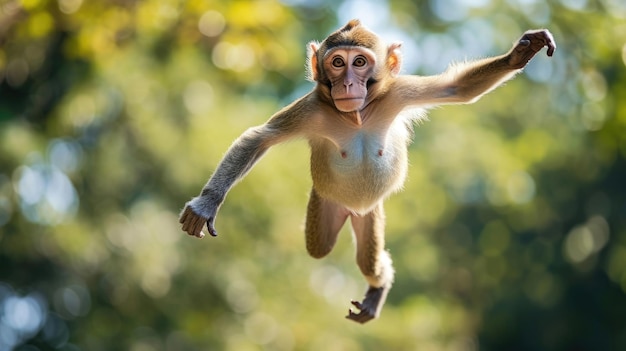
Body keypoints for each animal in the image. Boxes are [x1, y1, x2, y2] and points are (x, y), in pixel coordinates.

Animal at [178, 19, 552, 324]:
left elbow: (457, 89)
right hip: (325, 203)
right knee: (319, 247)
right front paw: (207, 203)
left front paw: (520, 54)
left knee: (368, 261)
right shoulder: (312, 109)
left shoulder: (396, 93)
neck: (356, 116)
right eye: (337, 63)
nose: (347, 84)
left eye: (359, 62)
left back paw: (379, 284)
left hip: (371, 214)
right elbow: (259, 138)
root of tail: (352, 210)